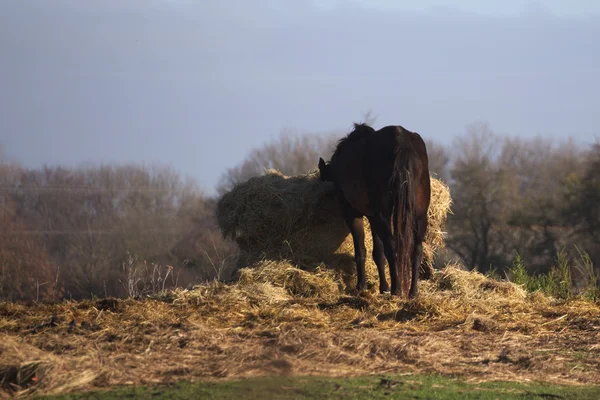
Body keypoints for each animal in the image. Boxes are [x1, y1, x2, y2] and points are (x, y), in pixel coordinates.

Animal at [318, 123, 432, 298]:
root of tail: (401, 142)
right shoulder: (373, 217)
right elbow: (378, 253)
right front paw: (383, 287)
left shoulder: (353, 214)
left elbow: (361, 250)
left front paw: (361, 286)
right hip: (419, 215)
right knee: (416, 249)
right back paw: (412, 292)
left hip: (383, 215)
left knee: (392, 248)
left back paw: (396, 290)